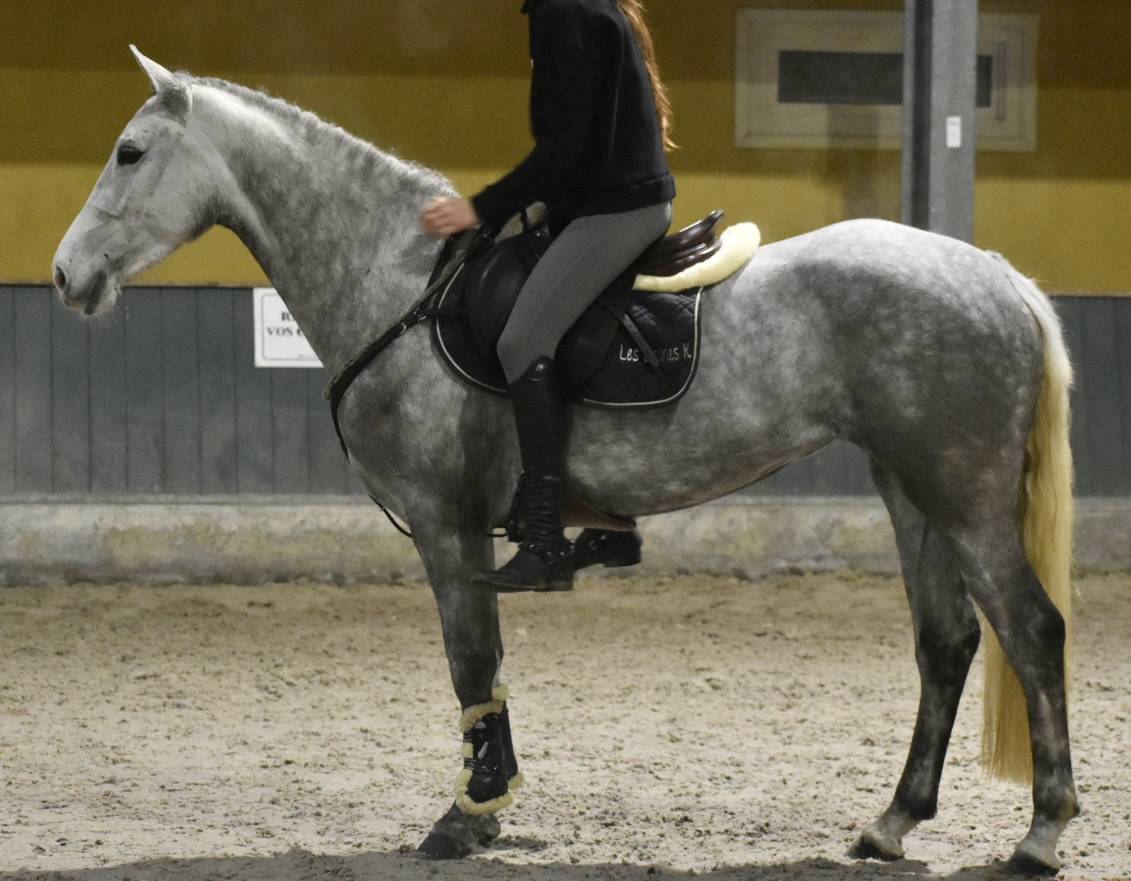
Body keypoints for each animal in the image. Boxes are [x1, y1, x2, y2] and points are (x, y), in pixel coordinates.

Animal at [52, 48, 1077, 874]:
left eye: (130, 152)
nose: (65, 276)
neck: (400, 285)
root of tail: (993, 272)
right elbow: (486, 664)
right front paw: (490, 803)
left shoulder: (445, 524)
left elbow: (470, 660)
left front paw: (468, 815)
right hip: (912, 491)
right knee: (946, 642)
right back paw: (889, 824)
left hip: (965, 494)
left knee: (1030, 629)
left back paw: (1039, 834)